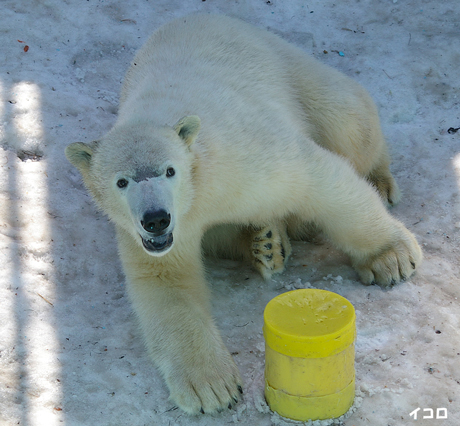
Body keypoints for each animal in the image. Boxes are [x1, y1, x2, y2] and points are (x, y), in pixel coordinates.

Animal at [66, 14, 422, 416]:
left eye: (170, 171)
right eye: (122, 181)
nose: (156, 218)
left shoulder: (238, 158)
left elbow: (314, 178)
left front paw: (392, 257)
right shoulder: (148, 233)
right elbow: (166, 283)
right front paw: (212, 388)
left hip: (292, 69)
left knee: (349, 120)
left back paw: (378, 182)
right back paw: (266, 244)